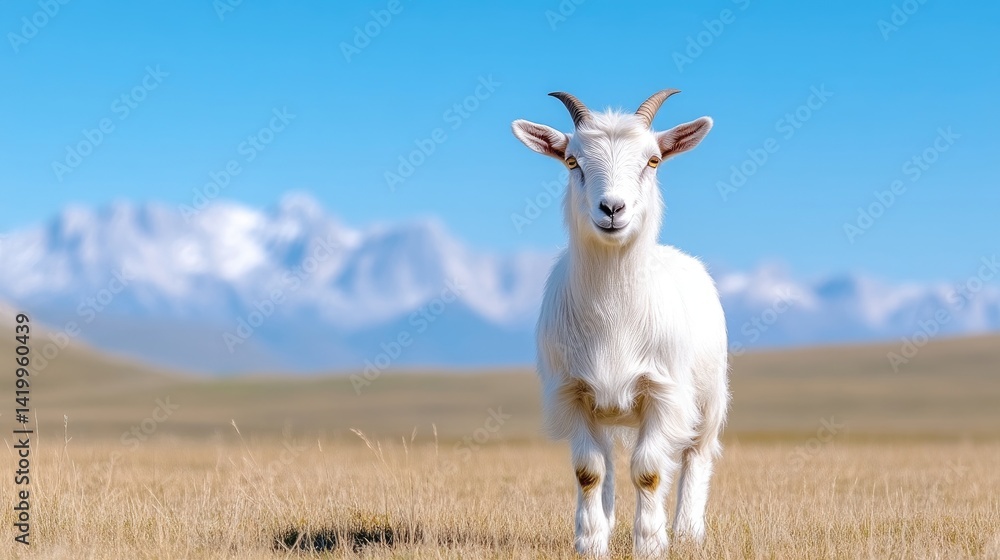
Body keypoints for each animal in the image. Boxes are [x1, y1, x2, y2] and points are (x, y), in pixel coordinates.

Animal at [511, 90, 729, 557]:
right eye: (571, 161)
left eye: (653, 160)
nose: (612, 208)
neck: (614, 317)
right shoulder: (572, 392)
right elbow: (589, 470)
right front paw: (592, 542)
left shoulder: (664, 392)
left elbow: (649, 471)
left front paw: (650, 543)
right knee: (609, 462)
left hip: (709, 397)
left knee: (695, 456)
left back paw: (687, 531)